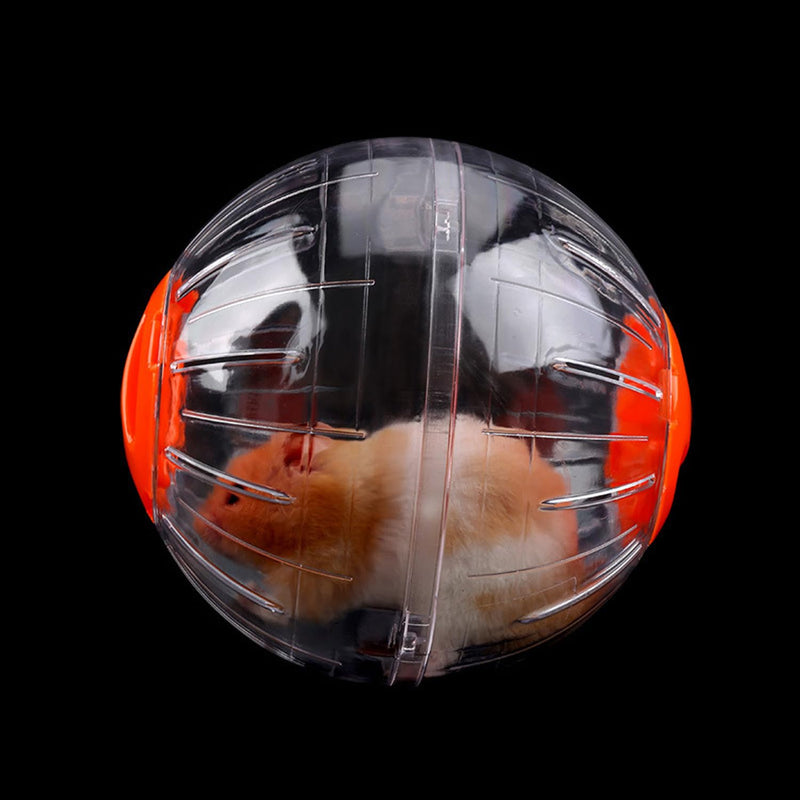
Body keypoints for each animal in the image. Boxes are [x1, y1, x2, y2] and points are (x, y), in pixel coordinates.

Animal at [196, 416, 582, 670]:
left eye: (234, 498)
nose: (198, 527)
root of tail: (564, 589)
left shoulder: (318, 577)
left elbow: (283, 607)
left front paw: (245, 594)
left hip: (460, 606)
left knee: (440, 656)